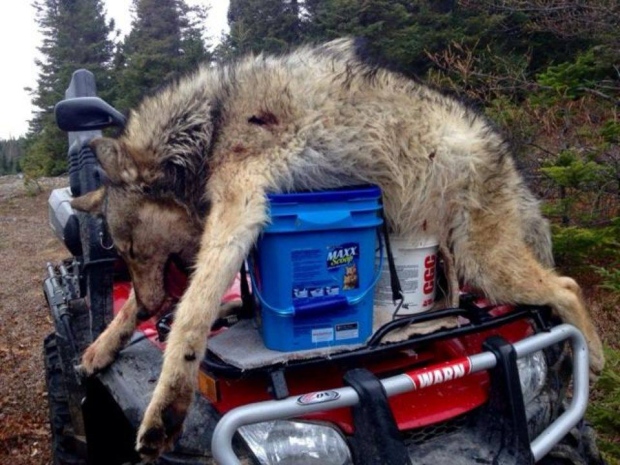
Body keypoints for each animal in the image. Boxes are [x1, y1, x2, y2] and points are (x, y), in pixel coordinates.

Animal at [70, 38, 604, 458]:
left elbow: (190, 316)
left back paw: (595, 359)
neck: (208, 126)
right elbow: (164, 308)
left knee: (567, 285)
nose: (151, 304)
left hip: (487, 263)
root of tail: (505, 154)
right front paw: (100, 347)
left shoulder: (238, 207)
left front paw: (162, 414)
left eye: (133, 249)